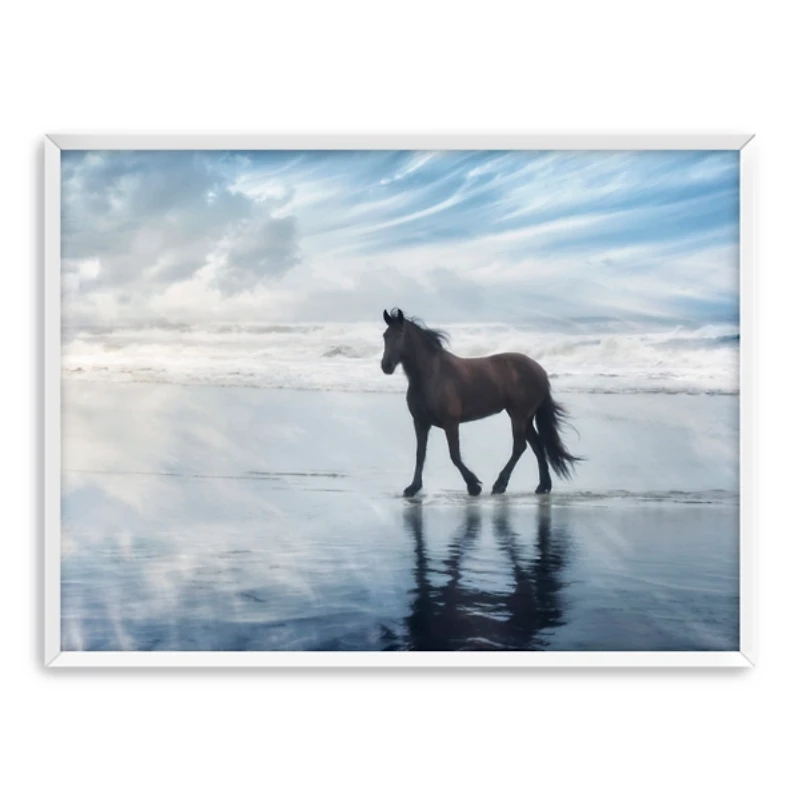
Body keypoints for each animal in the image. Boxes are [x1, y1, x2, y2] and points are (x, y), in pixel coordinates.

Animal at [380, 308, 581, 497]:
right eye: (385, 336)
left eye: (400, 334)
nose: (386, 366)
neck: (431, 375)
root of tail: (540, 371)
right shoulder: (420, 422)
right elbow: (420, 455)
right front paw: (413, 488)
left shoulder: (450, 423)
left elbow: (454, 455)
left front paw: (473, 485)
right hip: (525, 417)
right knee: (537, 446)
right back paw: (543, 486)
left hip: (519, 416)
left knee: (520, 447)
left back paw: (500, 485)